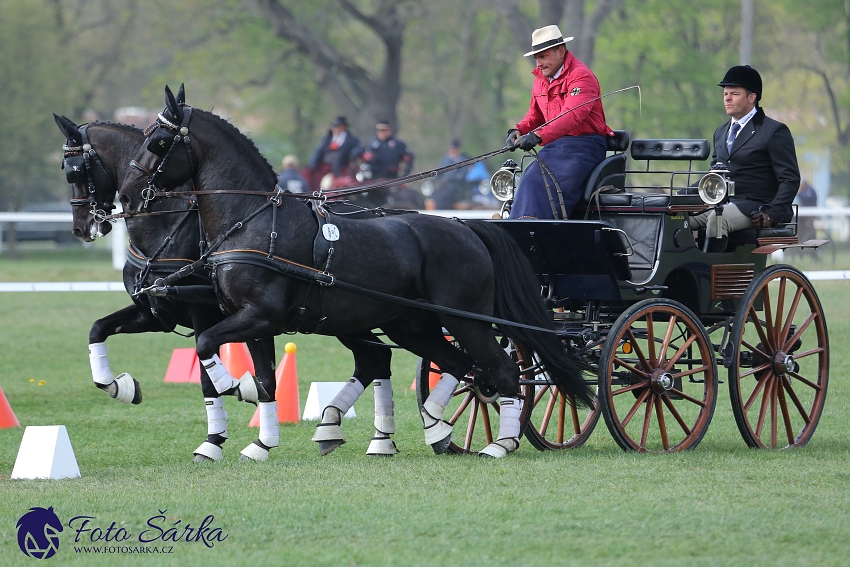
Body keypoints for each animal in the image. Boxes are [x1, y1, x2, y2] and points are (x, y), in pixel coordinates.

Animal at [51, 113, 274, 464]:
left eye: (74, 169)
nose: (80, 228)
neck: (166, 225)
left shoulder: (203, 313)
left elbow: (208, 380)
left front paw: (214, 440)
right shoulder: (155, 312)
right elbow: (98, 328)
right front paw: (119, 386)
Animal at [119, 85, 588, 458]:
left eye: (158, 140)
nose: (128, 192)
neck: (254, 221)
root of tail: (465, 227)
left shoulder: (260, 316)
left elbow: (205, 343)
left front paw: (236, 388)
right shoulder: (250, 321)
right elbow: (266, 380)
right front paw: (259, 441)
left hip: (465, 320)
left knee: (501, 372)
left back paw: (498, 443)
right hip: (410, 325)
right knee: (456, 364)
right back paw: (436, 428)